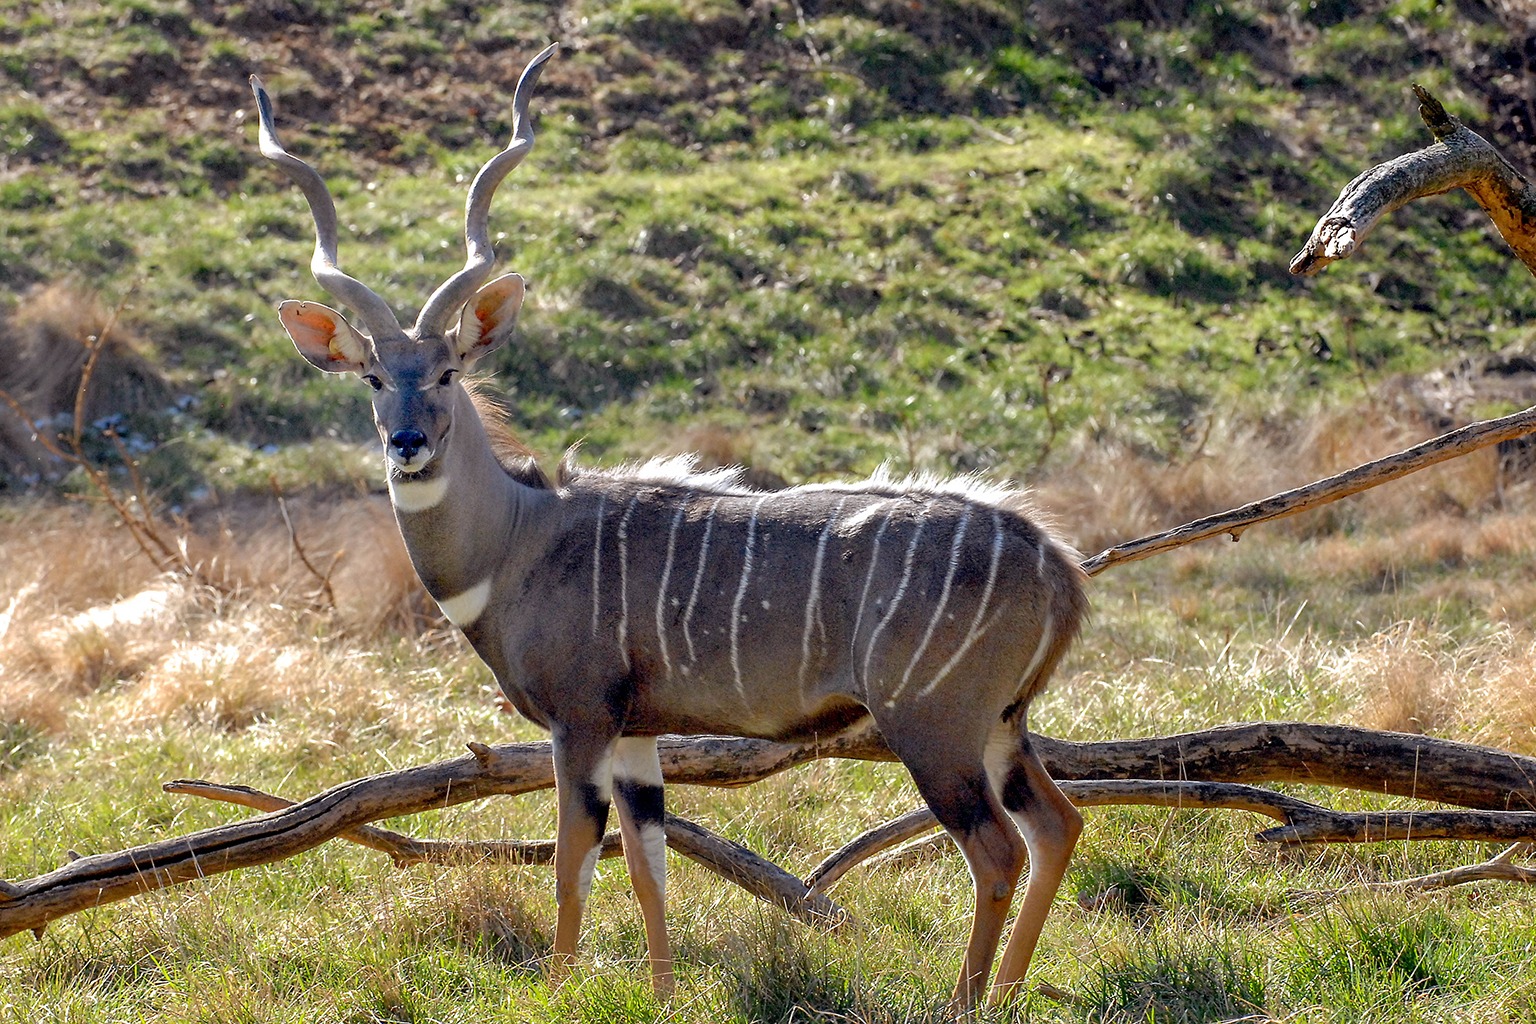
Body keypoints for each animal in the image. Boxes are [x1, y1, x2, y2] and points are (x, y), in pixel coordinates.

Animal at [251, 46, 1087, 1007]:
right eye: (374, 378)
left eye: (451, 371)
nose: (409, 444)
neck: (521, 539)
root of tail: (1058, 565)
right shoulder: (638, 732)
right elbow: (649, 863)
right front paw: (659, 992)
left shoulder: (579, 719)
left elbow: (574, 860)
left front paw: (559, 990)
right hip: (1002, 725)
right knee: (1058, 825)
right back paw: (1012, 991)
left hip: (932, 725)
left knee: (995, 849)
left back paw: (967, 999)